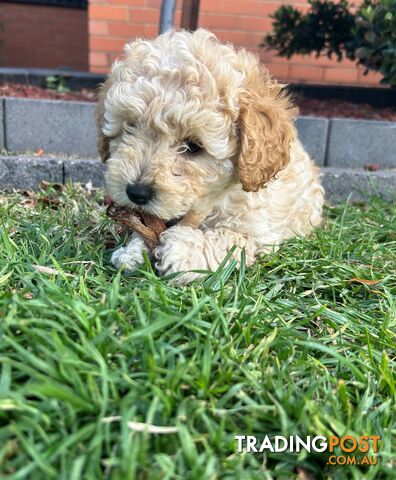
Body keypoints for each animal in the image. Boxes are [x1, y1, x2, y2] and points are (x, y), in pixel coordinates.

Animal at [97, 29, 324, 284]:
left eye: (193, 146)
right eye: (131, 127)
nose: (136, 193)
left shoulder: (257, 233)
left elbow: (227, 238)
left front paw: (183, 252)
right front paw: (133, 251)